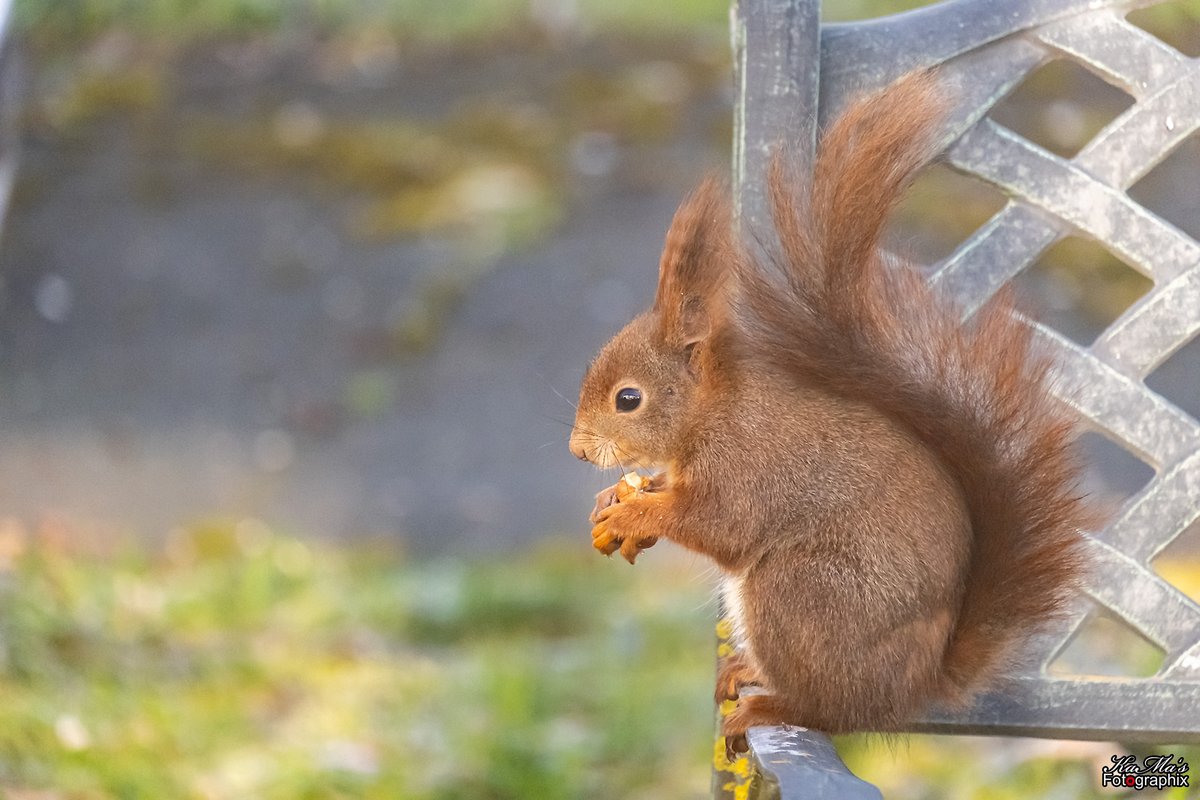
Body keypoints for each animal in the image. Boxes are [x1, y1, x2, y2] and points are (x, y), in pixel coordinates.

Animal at [567, 71, 1094, 752]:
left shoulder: (748, 463)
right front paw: (615, 498)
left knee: (828, 710)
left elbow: (719, 522)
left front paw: (638, 511)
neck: (712, 412)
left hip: (804, 594)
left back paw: (770, 705)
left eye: (627, 398)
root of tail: (910, 691)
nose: (579, 450)